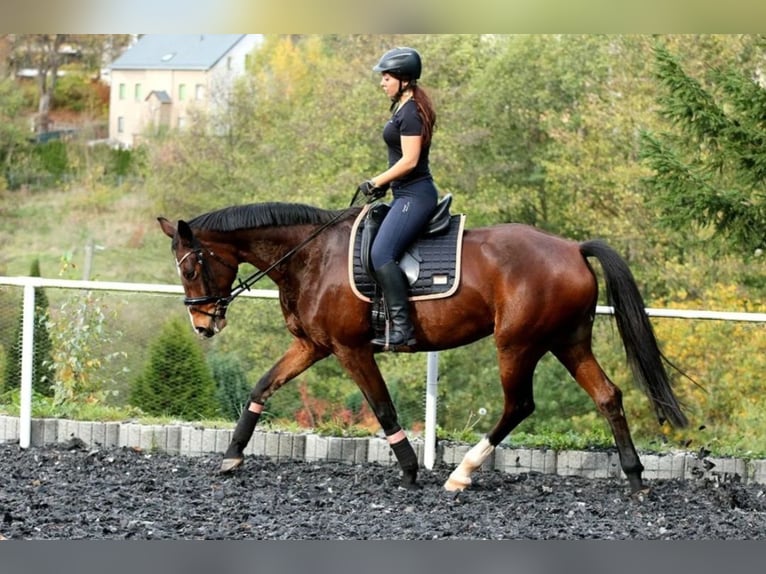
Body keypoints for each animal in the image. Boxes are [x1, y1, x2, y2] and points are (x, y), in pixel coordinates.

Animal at [158, 199, 688, 496]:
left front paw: (411, 470)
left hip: (517, 343)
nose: (202, 324)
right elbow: (263, 386)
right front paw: (232, 455)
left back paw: (462, 474)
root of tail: (573, 249)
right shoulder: (313, 345)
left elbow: (382, 407)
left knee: (519, 404)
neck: (311, 255)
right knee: (607, 396)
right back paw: (635, 479)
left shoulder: (351, 349)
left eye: (191, 267)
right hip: (567, 341)